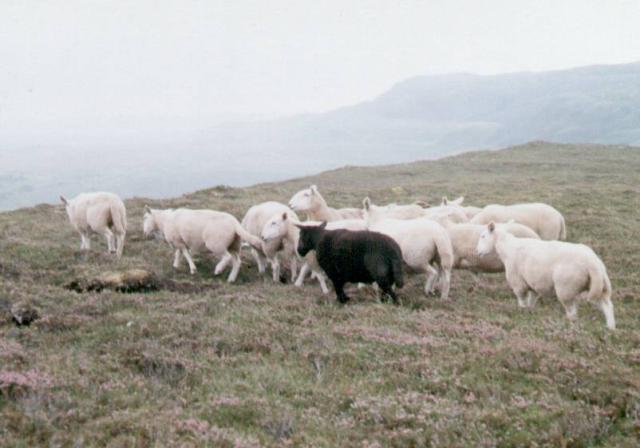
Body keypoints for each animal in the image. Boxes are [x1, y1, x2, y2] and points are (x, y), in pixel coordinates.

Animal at [476, 222, 615, 329]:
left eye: (483, 236)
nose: (477, 252)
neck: (507, 248)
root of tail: (593, 263)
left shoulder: (518, 283)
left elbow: (521, 301)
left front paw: (521, 312)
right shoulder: (533, 284)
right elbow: (531, 301)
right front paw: (529, 313)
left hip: (566, 287)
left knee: (572, 313)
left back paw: (570, 326)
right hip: (599, 286)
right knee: (607, 306)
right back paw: (610, 328)